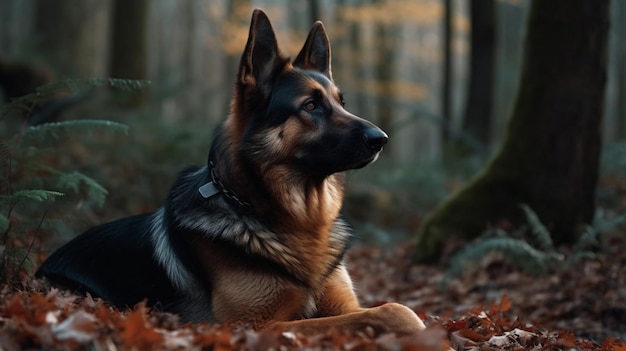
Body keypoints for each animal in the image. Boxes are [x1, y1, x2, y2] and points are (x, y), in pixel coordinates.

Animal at [36, 8, 426, 338]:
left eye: (341, 103)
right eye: (311, 106)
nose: (381, 139)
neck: (296, 222)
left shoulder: (341, 304)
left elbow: (390, 308)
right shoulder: (256, 324)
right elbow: (395, 310)